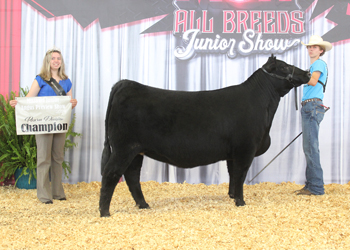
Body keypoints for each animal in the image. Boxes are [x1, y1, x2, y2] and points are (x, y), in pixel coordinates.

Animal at [98, 55, 308, 217]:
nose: (306, 72)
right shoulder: (245, 148)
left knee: (132, 176)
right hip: (124, 147)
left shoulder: (233, 152)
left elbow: (233, 174)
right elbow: (241, 174)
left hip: (136, 151)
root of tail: (125, 83)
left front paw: (232, 196)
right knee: (111, 173)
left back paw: (143, 205)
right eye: (284, 67)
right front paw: (240, 202)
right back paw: (104, 212)